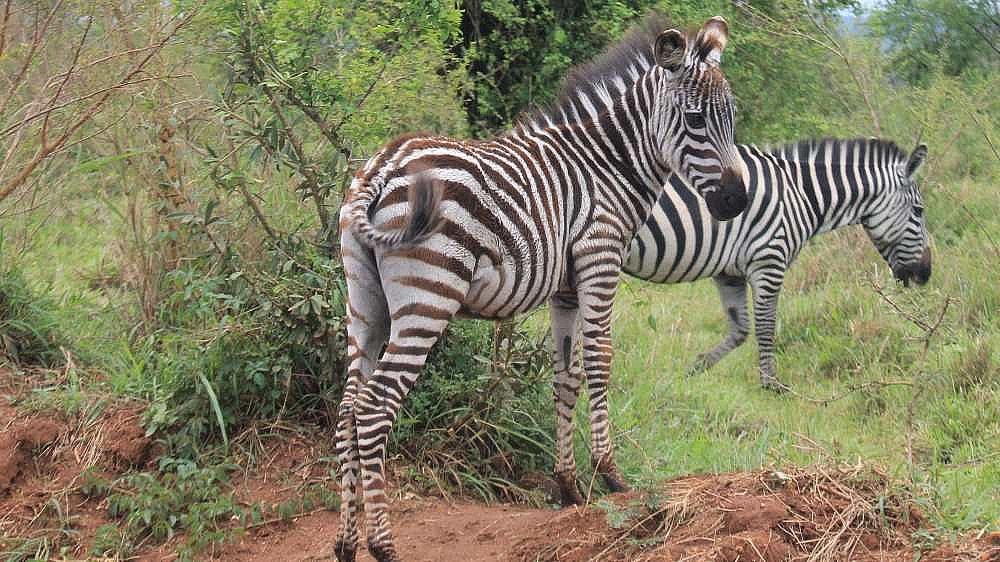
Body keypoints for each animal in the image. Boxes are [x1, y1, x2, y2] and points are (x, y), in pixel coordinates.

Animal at [334, 15, 748, 562]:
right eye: (697, 120)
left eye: (732, 119)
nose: (738, 200)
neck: (608, 163)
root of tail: (382, 166)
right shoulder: (600, 257)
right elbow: (600, 361)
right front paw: (610, 474)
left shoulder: (566, 289)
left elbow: (565, 375)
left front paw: (568, 486)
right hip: (427, 297)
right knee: (374, 407)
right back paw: (382, 544)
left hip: (364, 302)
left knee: (347, 406)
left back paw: (345, 541)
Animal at [624, 138, 931, 390]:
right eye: (918, 211)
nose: (926, 274)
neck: (801, 195)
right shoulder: (769, 260)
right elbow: (765, 325)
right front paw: (771, 384)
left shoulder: (729, 272)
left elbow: (741, 330)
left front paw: (694, 369)